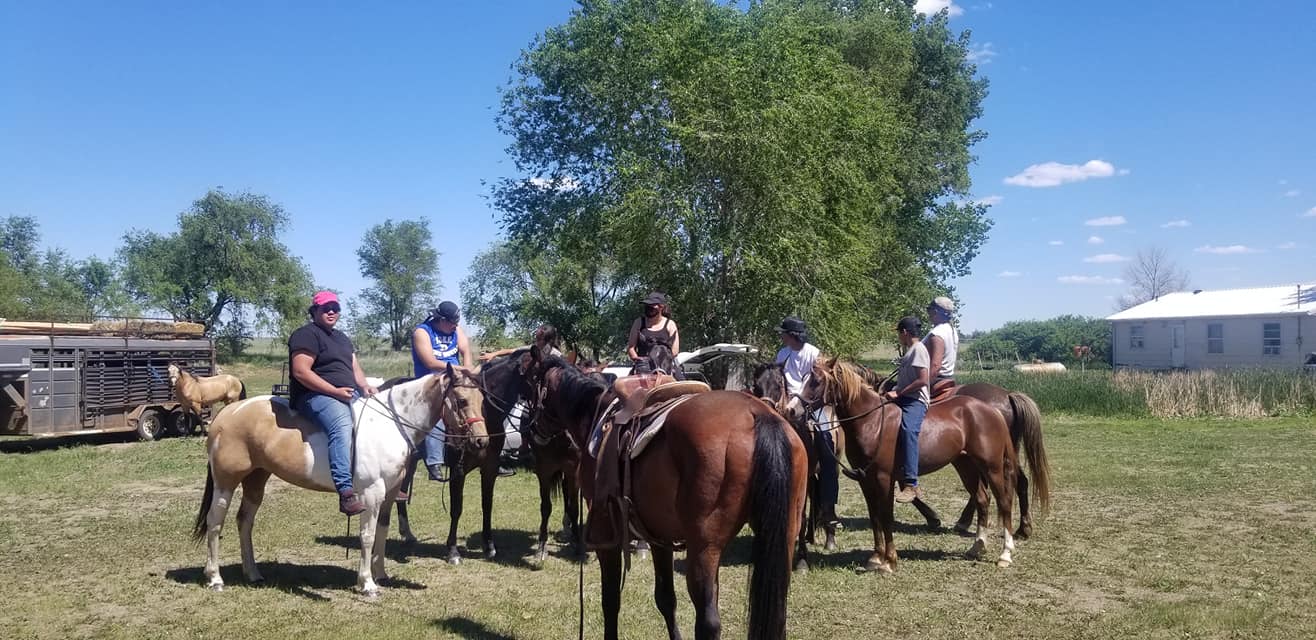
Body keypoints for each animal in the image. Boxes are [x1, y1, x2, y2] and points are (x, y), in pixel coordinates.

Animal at [190, 366, 486, 596]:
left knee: (245, 521)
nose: (482, 441)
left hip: (256, 479)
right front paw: (367, 584)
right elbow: (367, 536)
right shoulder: (371, 494)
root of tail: (227, 414)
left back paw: (252, 573)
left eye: (482, 399)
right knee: (215, 523)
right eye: (461, 400)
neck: (390, 424)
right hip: (226, 483)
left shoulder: (389, 495)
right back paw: (215, 578)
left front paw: (381, 574)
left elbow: (382, 532)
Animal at [527, 351, 808, 640]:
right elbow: (665, 598)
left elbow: (610, 601)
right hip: (783, 536)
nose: (532, 430)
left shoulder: (607, 535)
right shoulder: (658, 535)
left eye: (533, 384)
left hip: (704, 549)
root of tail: (757, 413)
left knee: (708, 623)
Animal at [796, 358, 1019, 572]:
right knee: (982, 499)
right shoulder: (865, 480)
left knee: (1004, 502)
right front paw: (876, 557)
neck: (872, 421)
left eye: (817, 381)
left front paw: (889, 561)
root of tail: (992, 410)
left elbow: (886, 516)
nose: (793, 409)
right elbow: (874, 516)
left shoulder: (884, 478)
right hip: (966, 465)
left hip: (992, 467)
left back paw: (1005, 555)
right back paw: (977, 546)